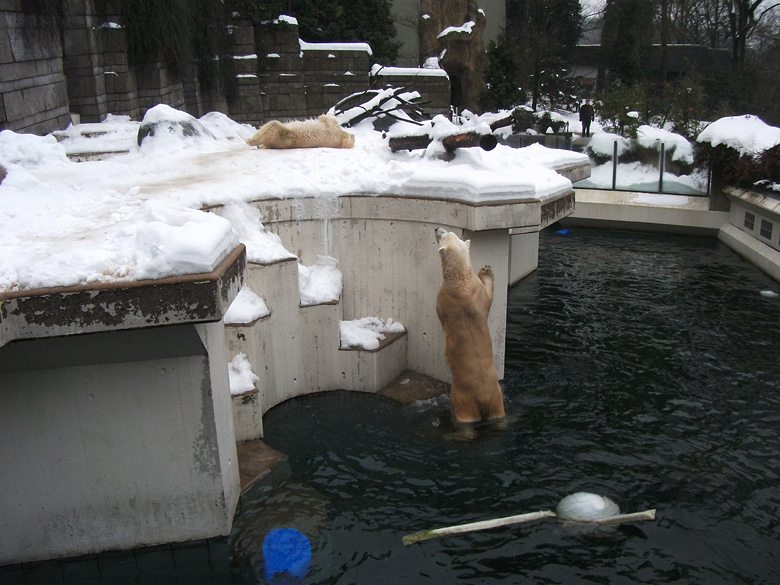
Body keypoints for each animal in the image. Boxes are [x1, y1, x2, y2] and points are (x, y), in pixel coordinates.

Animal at [432, 226, 506, 422]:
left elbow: (440, 312)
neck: (461, 280)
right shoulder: (477, 293)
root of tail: (483, 399)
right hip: (498, 399)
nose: (436, 228)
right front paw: (487, 270)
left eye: (444, 234)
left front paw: (486, 269)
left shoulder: (444, 296)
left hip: (462, 400)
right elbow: (488, 295)